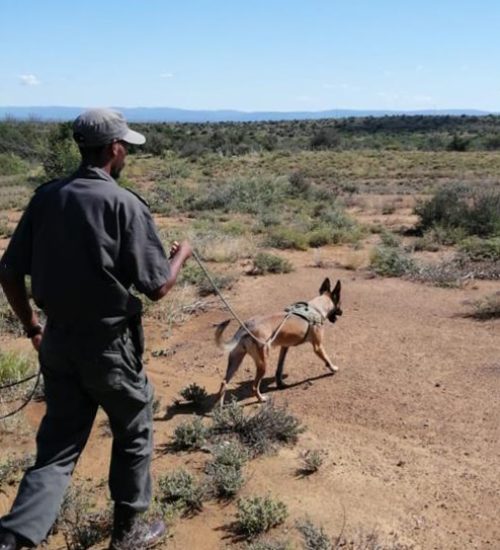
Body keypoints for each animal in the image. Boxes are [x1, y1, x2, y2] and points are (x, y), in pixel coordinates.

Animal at [213, 278, 342, 408]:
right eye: (340, 303)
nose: (342, 312)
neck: (316, 308)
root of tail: (247, 326)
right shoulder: (318, 347)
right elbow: (327, 358)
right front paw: (333, 368)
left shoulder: (284, 347)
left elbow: (279, 368)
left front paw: (280, 384)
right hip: (262, 364)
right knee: (254, 386)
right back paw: (261, 399)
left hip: (236, 360)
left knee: (224, 382)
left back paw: (220, 407)